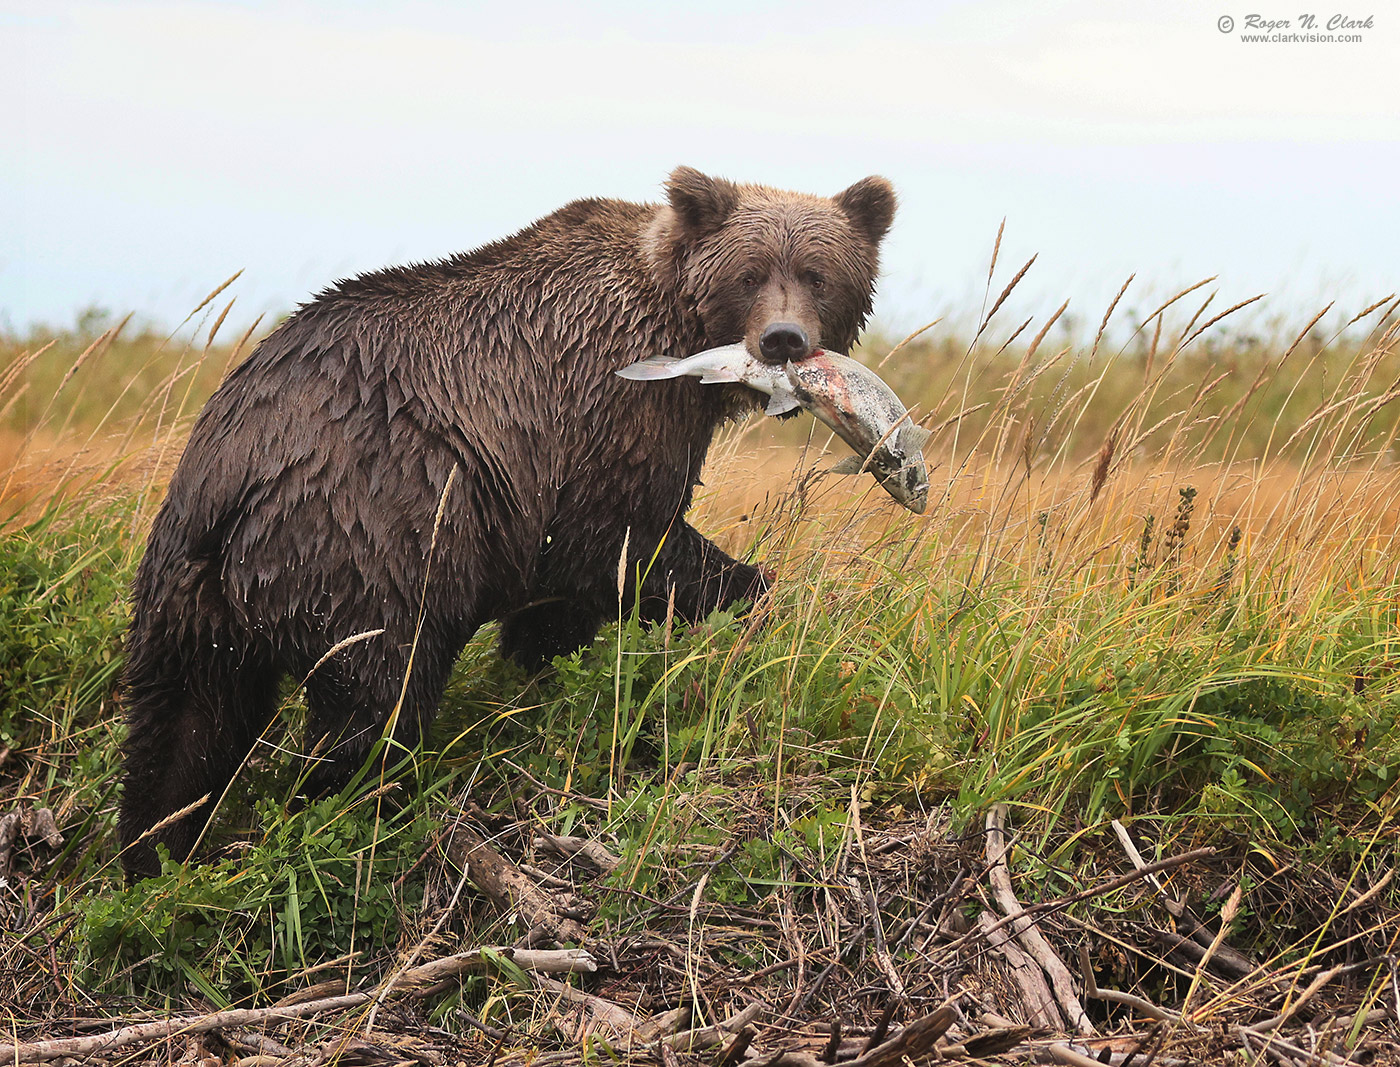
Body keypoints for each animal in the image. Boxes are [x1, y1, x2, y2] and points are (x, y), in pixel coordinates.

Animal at [114, 166, 890, 879]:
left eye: (818, 274)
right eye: (749, 272)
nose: (784, 338)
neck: (678, 335)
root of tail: (235, 480)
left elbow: (558, 606)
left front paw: (534, 685)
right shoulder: (605, 416)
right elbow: (617, 545)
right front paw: (758, 592)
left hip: (183, 595)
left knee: (182, 731)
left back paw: (153, 858)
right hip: (364, 537)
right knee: (375, 701)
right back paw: (367, 810)